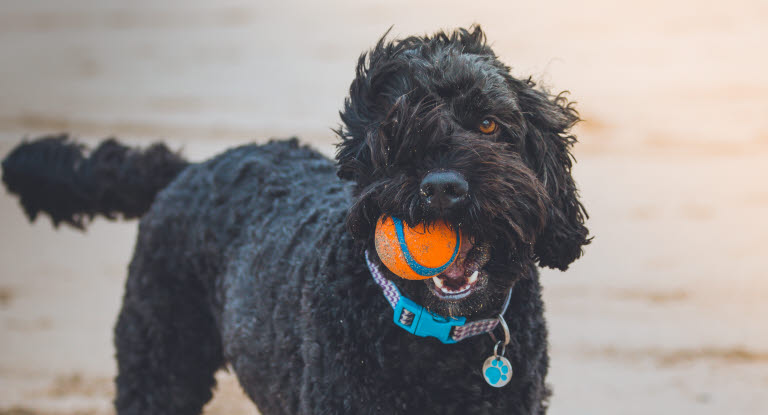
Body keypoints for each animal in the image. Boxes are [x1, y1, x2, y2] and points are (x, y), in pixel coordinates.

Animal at [1, 26, 588, 415]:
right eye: (394, 130)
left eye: (488, 124)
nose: (443, 187)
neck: (435, 337)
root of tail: (190, 167)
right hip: (159, 361)